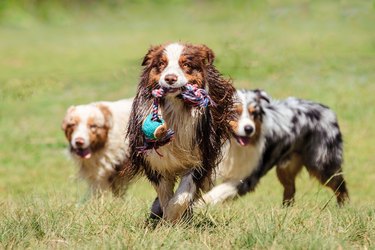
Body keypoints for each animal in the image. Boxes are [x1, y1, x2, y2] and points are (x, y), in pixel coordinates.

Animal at [128, 43, 236, 223]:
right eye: (161, 64)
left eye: (186, 64)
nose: (170, 78)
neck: (175, 110)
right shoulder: (155, 160)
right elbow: (164, 194)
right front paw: (166, 218)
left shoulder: (200, 157)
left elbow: (183, 195)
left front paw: (174, 217)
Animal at [201, 89, 352, 206]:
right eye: (234, 112)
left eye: (254, 113)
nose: (249, 129)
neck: (233, 145)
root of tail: (327, 110)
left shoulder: (246, 178)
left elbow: (217, 192)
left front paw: (202, 203)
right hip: (285, 168)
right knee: (290, 189)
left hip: (322, 163)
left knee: (340, 185)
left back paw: (343, 208)